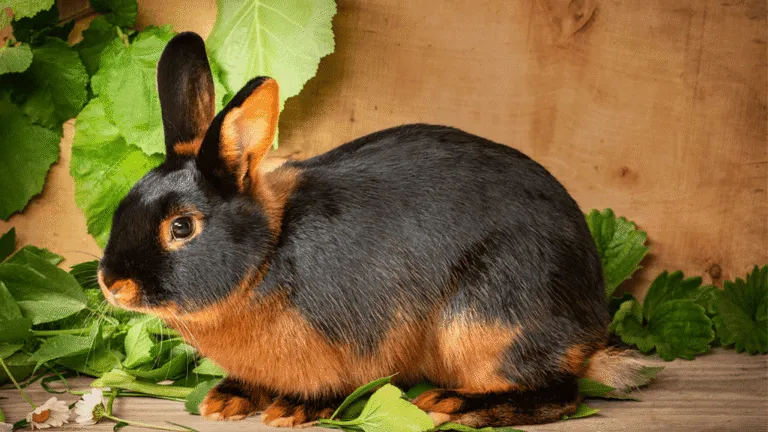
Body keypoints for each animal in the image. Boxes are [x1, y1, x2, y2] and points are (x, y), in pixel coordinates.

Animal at [97, 32, 639, 428]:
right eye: (123, 205)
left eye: (182, 227)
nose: (111, 284)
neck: (268, 253)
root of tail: (589, 322)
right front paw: (225, 399)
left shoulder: (357, 342)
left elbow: (338, 384)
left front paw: (293, 410)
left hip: (485, 323)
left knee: (559, 394)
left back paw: (455, 404)